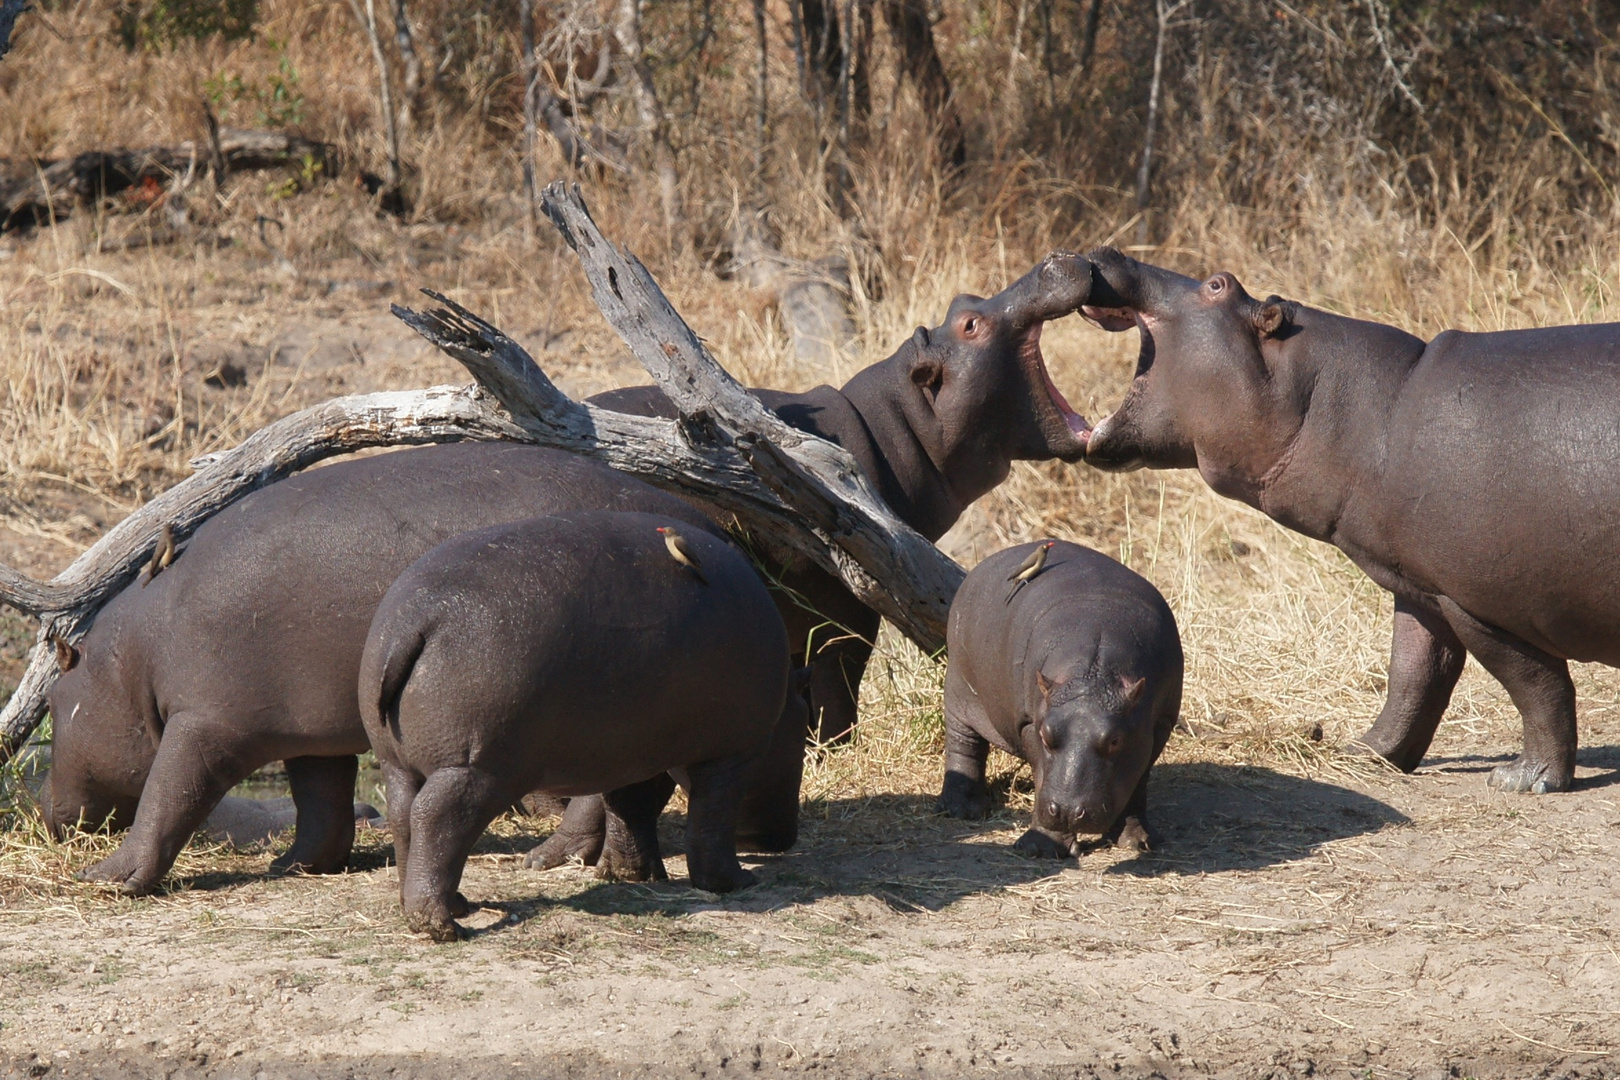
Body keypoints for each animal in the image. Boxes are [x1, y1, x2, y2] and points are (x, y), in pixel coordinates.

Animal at [358, 508, 787, 939]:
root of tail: (415, 621)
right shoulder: (734, 752)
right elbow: (711, 817)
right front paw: (735, 882)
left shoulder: (636, 746)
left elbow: (630, 804)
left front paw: (633, 874)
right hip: (474, 768)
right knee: (435, 817)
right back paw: (441, 925)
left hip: (397, 760)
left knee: (403, 815)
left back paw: (449, 906)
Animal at [537, 249, 1095, 867]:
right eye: (971, 324)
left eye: (962, 303)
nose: (1057, 260)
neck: (897, 429)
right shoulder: (848, 602)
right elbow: (839, 679)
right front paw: (833, 748)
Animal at [933, 544, 1185, 854]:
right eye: (1045, 736)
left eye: (1115, 741)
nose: (1066, 811)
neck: (1094, 676)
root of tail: (982, 566)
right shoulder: (1029, 724)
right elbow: (1042, 774)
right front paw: (1040, 849)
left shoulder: (1159, 724)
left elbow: (1138, 779)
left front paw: (1138, 842)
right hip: (959, 692)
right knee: (964, 746)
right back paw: (965, 810)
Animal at [1075, 250, 1620, 793]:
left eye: (1218, 285)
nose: (1111, 253)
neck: (1375, 412)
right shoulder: (1421, 590)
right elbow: (1415, 675)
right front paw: (1363, 754)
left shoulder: (1479, 602)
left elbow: (1534, 683)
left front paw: (1522, 780)